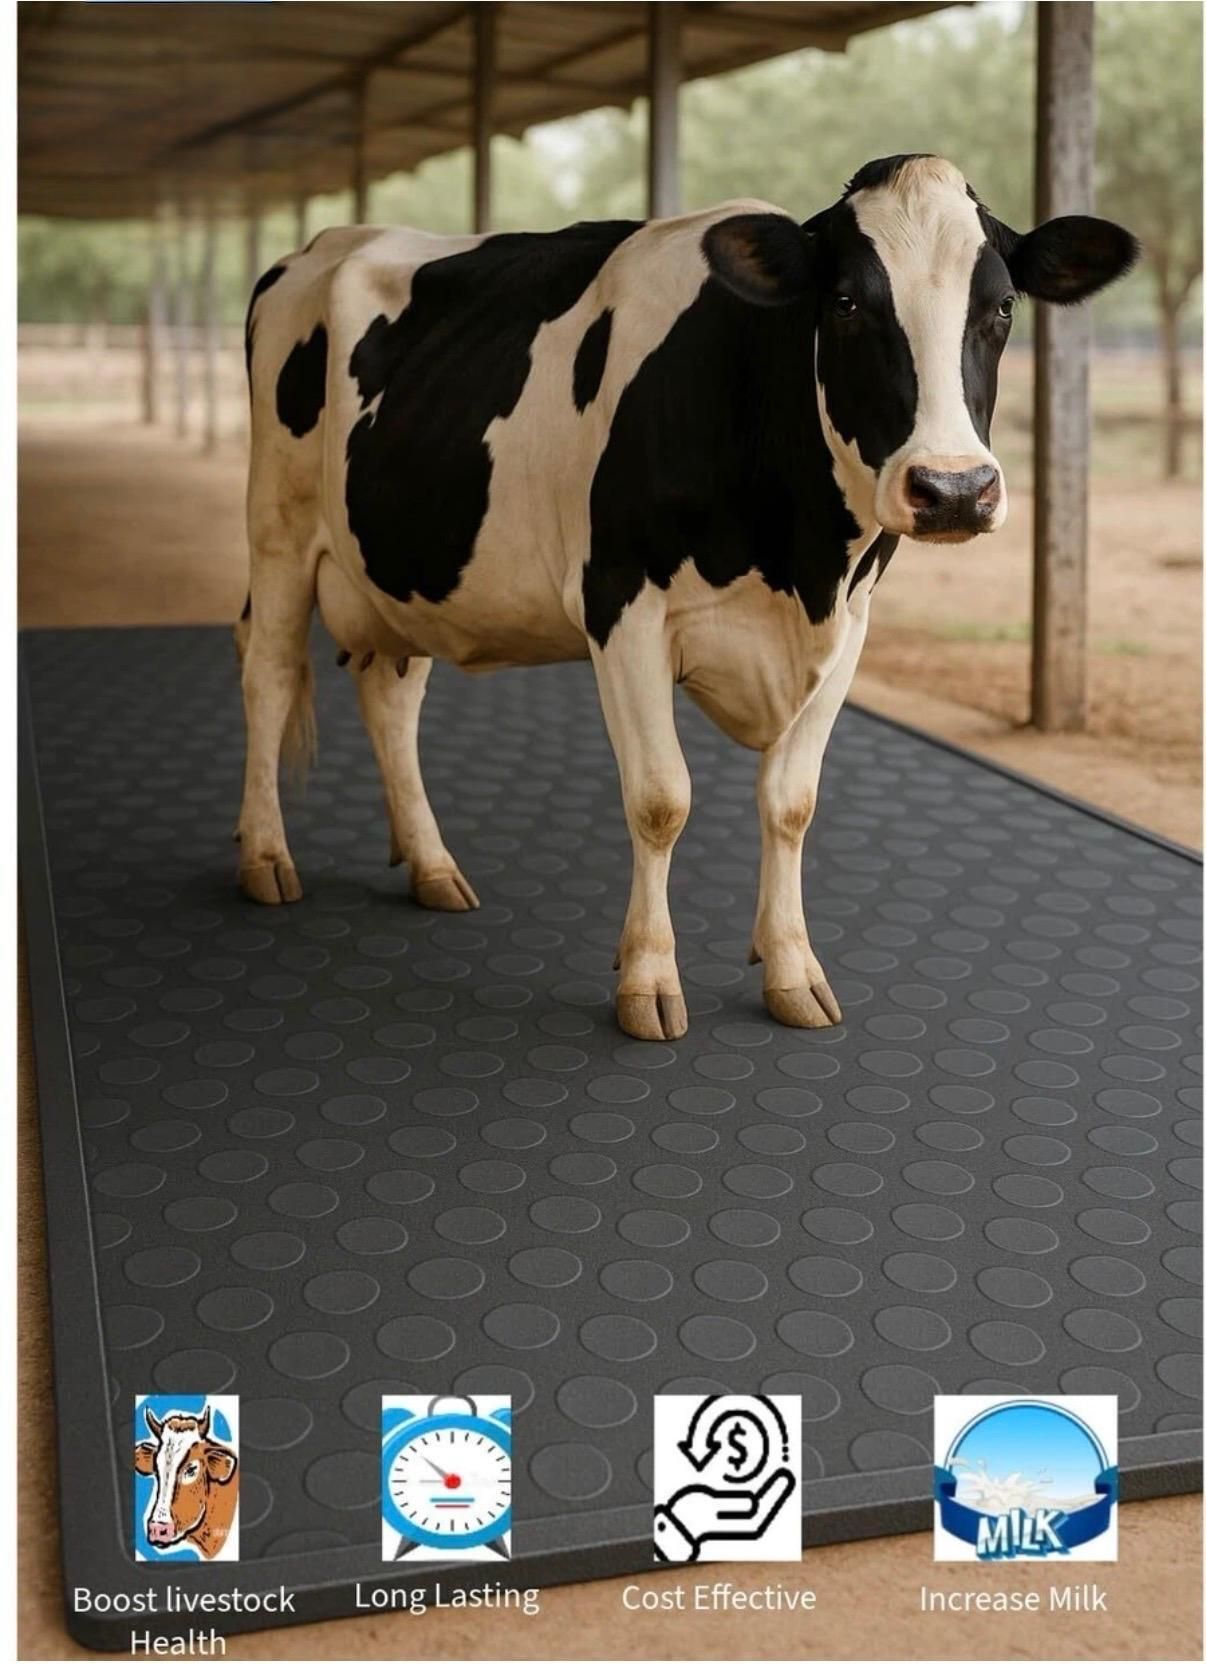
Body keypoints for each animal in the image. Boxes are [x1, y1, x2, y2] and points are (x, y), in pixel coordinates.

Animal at [235, 154, 1136, 1042]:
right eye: (847, 303)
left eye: (1003, 307)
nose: (953, 490)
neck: (797, 557)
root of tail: (320, 248)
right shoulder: (621, 605)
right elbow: (662, 799)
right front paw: (648, 979)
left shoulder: (850, 624)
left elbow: (792, 803)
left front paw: (791, 971)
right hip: (278, 532)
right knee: (269, 673)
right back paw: (265, 857)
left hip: (403, 571)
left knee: (392, 699)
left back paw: (430, 865)